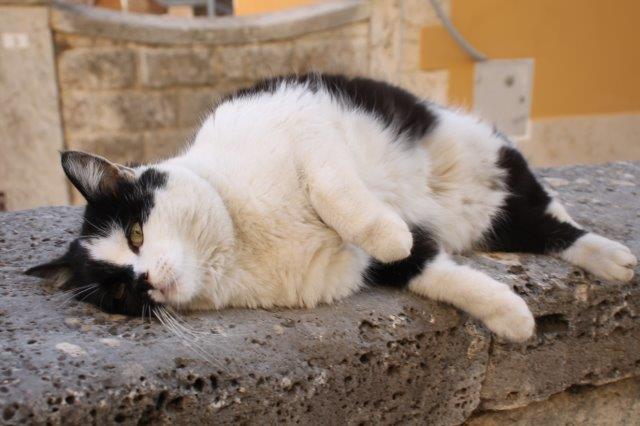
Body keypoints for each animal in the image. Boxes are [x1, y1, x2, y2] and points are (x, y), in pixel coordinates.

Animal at [26, 73, 637, 342]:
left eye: (135, 232)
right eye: (119, 293)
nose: (147, 280)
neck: (241, 239)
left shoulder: (305, 125)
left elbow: (337, 195)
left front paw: (389, 231)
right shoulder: (366, 269)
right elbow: (431, 272)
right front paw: (512, 316)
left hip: (489, 157)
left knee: (555, 215)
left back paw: (614, 257)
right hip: (496, 218)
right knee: (543, 228)